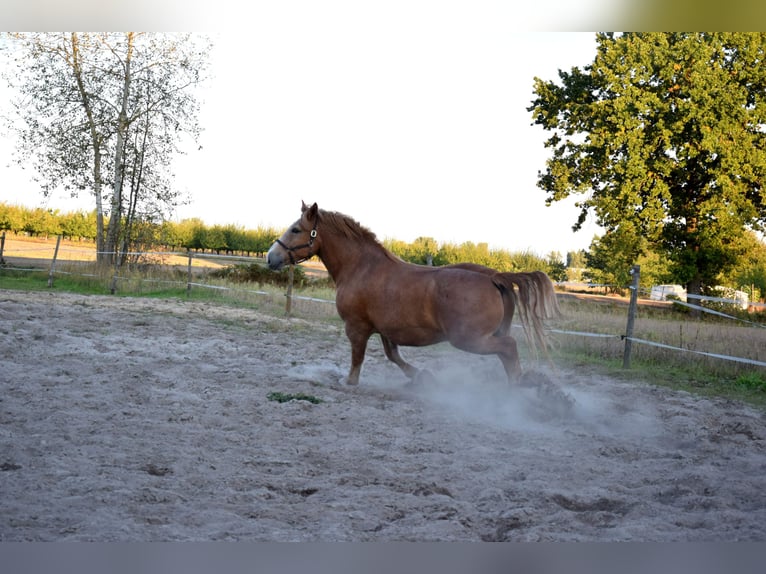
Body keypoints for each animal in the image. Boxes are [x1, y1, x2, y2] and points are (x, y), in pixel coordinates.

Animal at [267, 202, 560, 386]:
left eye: (295, 229)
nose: (271, 257)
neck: (361, 267)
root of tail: (493, 277)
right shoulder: (385, 329)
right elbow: (393, 356)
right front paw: (420, 376)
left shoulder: (357, 327)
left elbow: (358, 357)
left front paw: (349, 382)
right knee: (506, 353)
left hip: (469, 339)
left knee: (509, 348)